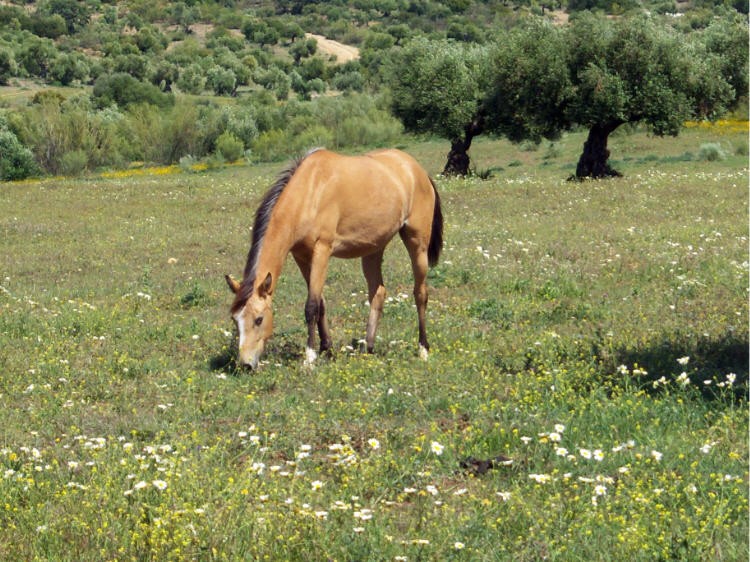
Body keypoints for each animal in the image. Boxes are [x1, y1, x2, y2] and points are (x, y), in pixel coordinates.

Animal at [226, 147, 444, 370]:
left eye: (259, 319)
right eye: (235, 320)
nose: (245, 364)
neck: (310, 191)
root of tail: (417, 170)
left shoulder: (322, 250)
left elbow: (311, 306)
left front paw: (310, 357)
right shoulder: (301, 256)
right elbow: (320, 303)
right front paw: (326, 349)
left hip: (417, 243)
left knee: (420, 293)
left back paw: (423, 348)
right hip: (374, 248)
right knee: (378, 293)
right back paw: (368, 348)